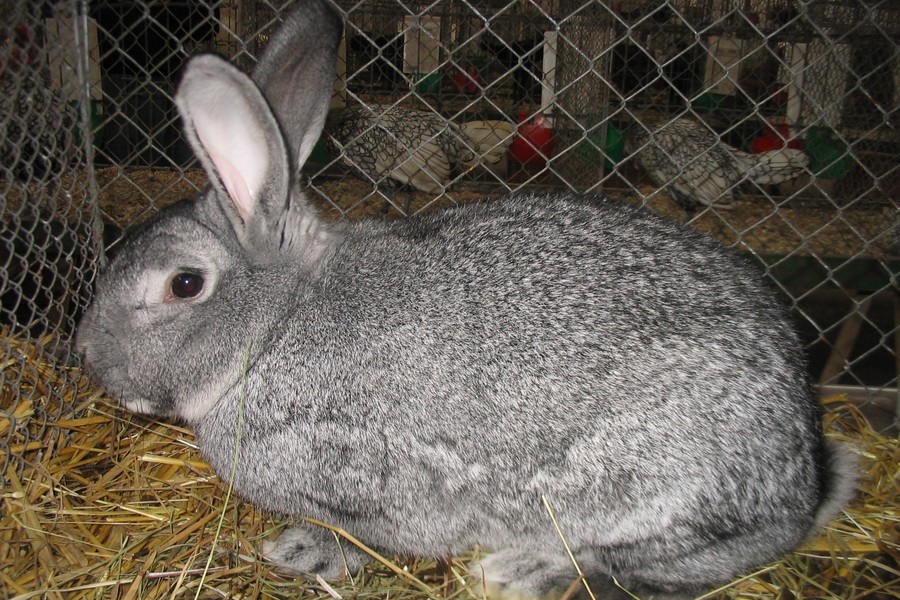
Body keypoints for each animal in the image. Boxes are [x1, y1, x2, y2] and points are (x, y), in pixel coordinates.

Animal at [75, 1, 856, 598]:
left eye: (183, 284)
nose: (86, 355)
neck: (274, 331)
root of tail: (802, 477)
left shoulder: (375, 483)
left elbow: (373, 537)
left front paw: (304, 552)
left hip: (655, 487)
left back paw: (525, 569)